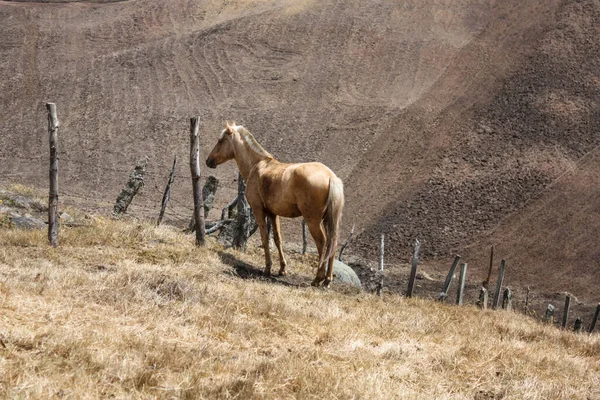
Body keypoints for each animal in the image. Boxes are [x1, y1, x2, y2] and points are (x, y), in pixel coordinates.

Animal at [206, 122, 344, 288]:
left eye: (220, 141)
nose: (208, 161)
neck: (258, 165)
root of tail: (330, 176)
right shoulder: (273, 214)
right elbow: (278, 240)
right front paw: (282, 269)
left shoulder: (258, 211)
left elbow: (265, 238)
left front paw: (268, 268)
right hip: (328, 220)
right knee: (332, 243)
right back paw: (327, 280)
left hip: (313, 222)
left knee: (322, 244)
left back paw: (318, 278)